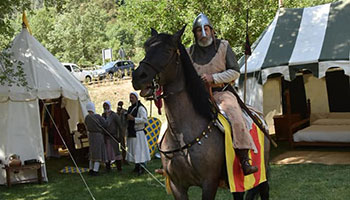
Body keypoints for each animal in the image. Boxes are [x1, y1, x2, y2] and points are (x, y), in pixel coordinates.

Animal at [132, 25, 270, 199]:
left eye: (168, 50)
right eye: (146, 48)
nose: (138, 76)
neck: (181, 135)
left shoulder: (209, 182)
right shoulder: (178, 186)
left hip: (261, 170)